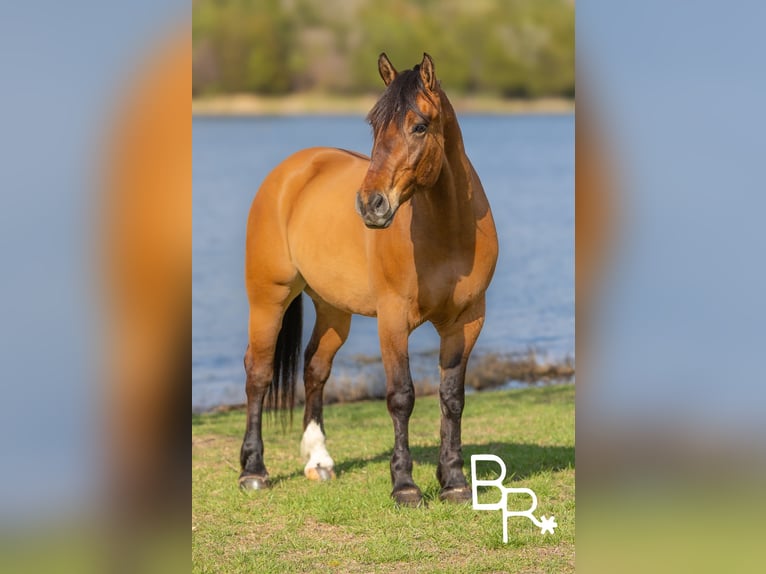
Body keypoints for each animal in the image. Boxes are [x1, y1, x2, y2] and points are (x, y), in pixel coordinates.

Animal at [238, 53, 498, 506]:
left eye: (419, 125)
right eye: (375, 126)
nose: (370, 204)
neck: (449, 233)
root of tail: (289, 173)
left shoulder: (466, 322)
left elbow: (452, 398)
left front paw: (454, 481)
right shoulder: (393, 320)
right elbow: (401, 396)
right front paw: (405, 486)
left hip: (333, 310)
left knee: (315, 368)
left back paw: (319, 461)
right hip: (268, 299)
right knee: (259, 372)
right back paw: (253, 470)